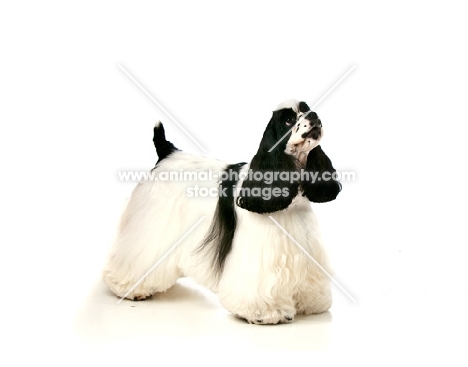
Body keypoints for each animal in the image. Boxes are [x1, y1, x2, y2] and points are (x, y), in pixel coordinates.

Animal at [103, 100, 340, 324]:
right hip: (151, 223)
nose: (314, 115)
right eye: (289, 120)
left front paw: (311, 302)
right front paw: (265, 313)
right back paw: (129, 287)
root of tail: (168, 153)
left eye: (307, 108)